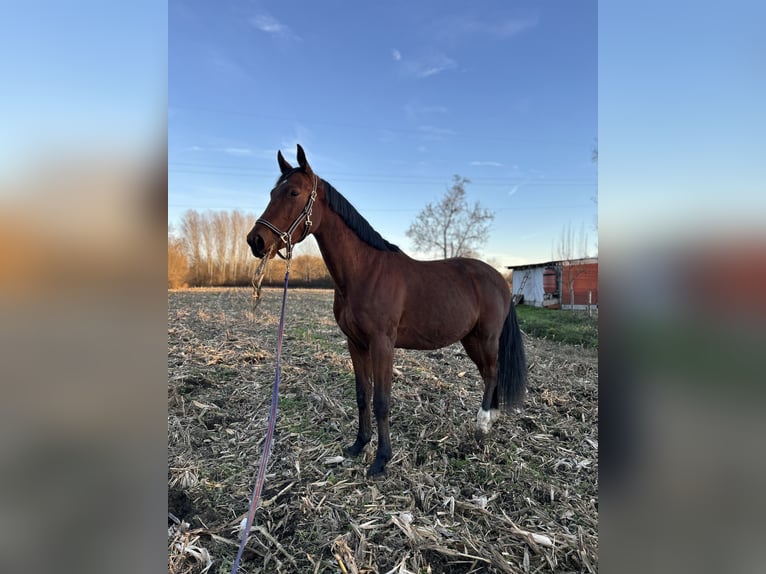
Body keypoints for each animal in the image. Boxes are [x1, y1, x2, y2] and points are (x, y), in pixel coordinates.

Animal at [249, 146, 532, 480]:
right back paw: (492, 418)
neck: (364, 272)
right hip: (471, 339)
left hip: (485, 338)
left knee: (490, 372)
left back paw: (483, 424)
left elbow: (382, 401)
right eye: (272, 192)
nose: (256, 240)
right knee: (491, 372)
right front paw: (359, 445)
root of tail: (499, 279)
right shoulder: (356, 344)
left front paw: (381, 459)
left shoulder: (382, 344)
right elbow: (363, 395)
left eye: (293, 192)